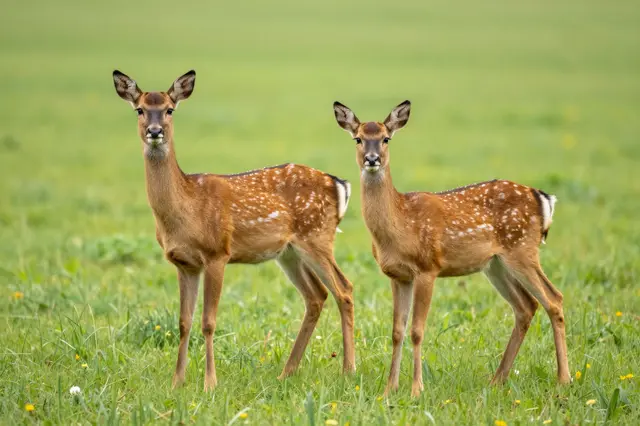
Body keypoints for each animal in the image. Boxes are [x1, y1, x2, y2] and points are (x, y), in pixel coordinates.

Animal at [112, 69, 356, 391]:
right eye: (139, 109)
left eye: (169, 109)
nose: (154, 131)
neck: (185, 206)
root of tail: (339, 184)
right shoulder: (184, 263)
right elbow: (183, 321)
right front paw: (177, 382)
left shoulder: (217, 253)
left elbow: (208, 321)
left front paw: (210, 383)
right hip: (288, 252)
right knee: (316, 295)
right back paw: (287, 372)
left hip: (317, 236)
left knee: (344, 289)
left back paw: (348, 370)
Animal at [333, 100, 570, 397]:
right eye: (358, 138)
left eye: (386, 138)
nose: (372, 159)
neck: (401, 223)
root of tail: (543, 198)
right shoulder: (397, 275)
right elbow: (397, 331)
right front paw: (389, 389)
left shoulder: (428, 268)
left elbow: (417, 330)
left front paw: (416, 389)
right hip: (495, 264)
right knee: (526, 306)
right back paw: (497, 380)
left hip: (522, 250)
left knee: (553, 298)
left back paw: (563, 379)